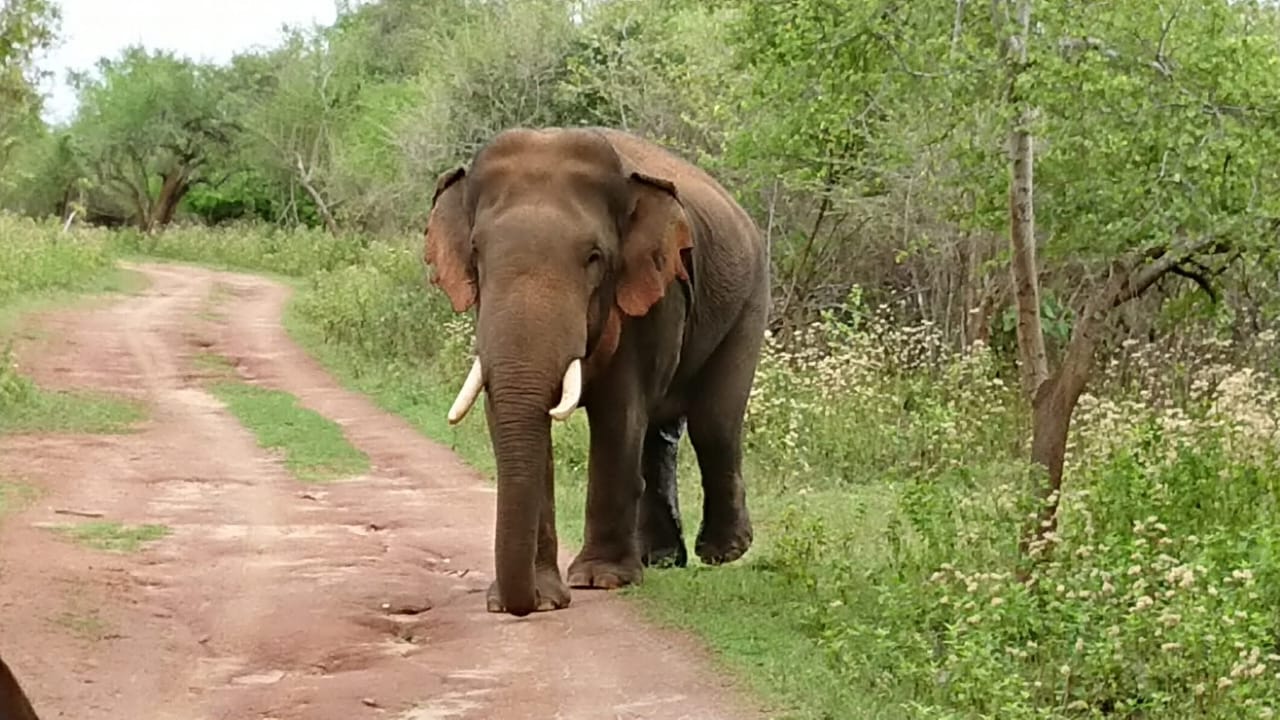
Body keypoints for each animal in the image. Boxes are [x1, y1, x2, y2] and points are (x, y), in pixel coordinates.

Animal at [423, 126, 769, 617]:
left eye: (594, 257)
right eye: (475, 252)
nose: (519, 605)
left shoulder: (654, 294)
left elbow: (618, 416)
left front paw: (599, 581)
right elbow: (507, 413)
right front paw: (544, 599)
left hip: (750, 301)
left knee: (713, 424)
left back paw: (723, 553)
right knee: (662, 433)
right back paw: (660, 559)